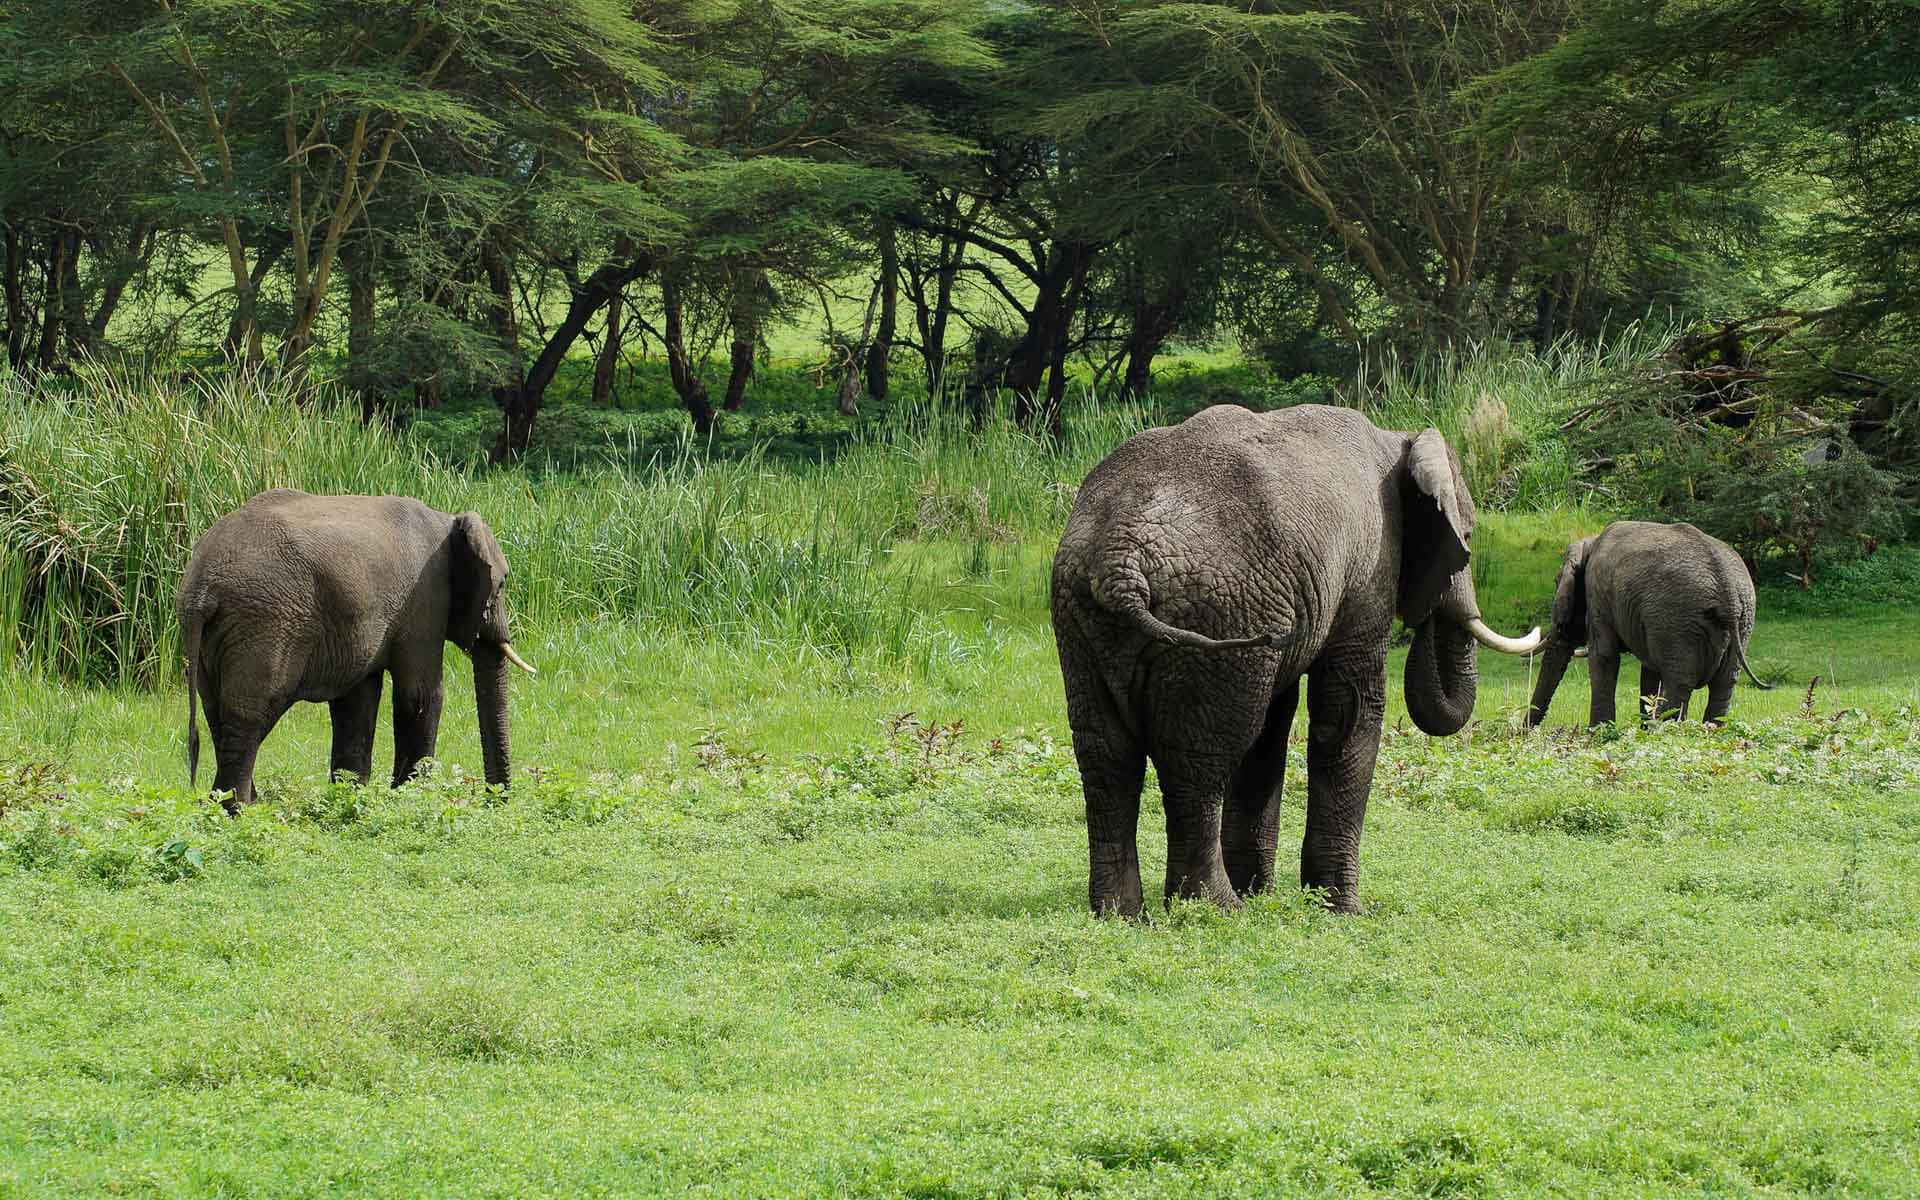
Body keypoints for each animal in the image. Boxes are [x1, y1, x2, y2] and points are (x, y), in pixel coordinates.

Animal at [176, 489, 537, 814]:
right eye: (502, 584)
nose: (494, 801)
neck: (447, 520)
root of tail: (201, 586)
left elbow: (357, 700)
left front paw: (351, 796)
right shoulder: (426, 598)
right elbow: (420, 695)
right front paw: (410, 798)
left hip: (218, 635)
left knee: (218, 713)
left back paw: (238, 805)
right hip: (266, 622)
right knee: (250, 713)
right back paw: (239, 811)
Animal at [1052, 403, 1543, 917]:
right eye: (1466, 536)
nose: (1429, 615)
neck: (1398, 439)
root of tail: (1119, 562)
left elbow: (1274, 727)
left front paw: (1264, 891)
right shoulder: (1368, 570)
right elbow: (1348, 711)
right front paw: (1343, 910)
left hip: (1090, 616)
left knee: (1106, 755)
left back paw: (1123, 913)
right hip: (1216, 611)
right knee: (1200, 761)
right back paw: (1217, 908)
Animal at [1520, 518, 1774, 725]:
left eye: (1556, 582)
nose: (1523, 732)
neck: (1590, 543)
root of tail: (1727, 584)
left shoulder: (1598, 597)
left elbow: (1603, 655)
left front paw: (1598, 734)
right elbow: (1649, 670)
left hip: (1676, 617)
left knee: (1680, 683)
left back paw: (1661, 730)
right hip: (1741, 619)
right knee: (1724, 682)